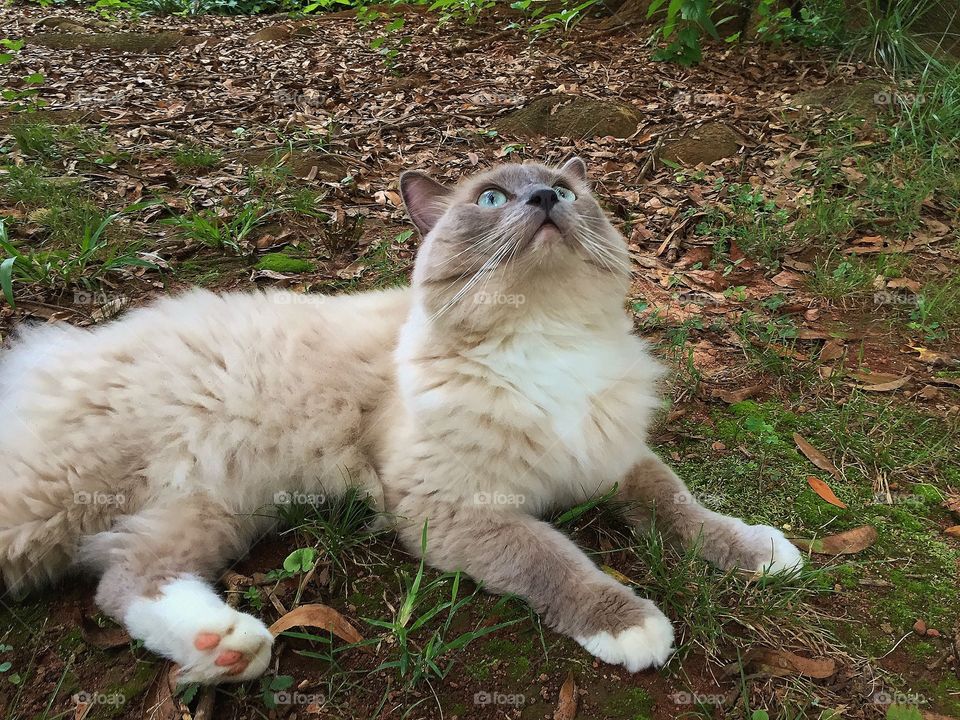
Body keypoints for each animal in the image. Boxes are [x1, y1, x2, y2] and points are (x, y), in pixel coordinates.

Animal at [0, 156, 804, 680]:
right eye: (491, 200)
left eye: (570, 192)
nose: (547, 197)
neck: (545, 340)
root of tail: (54, 345)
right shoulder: (455, 509)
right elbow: (556, 560)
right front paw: (630, 625)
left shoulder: (615, 462)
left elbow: (683, 509)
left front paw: (762, 554)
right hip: (52, 505)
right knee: (114, 577)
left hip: (212, 510)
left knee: (127, 580)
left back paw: (228, 647)